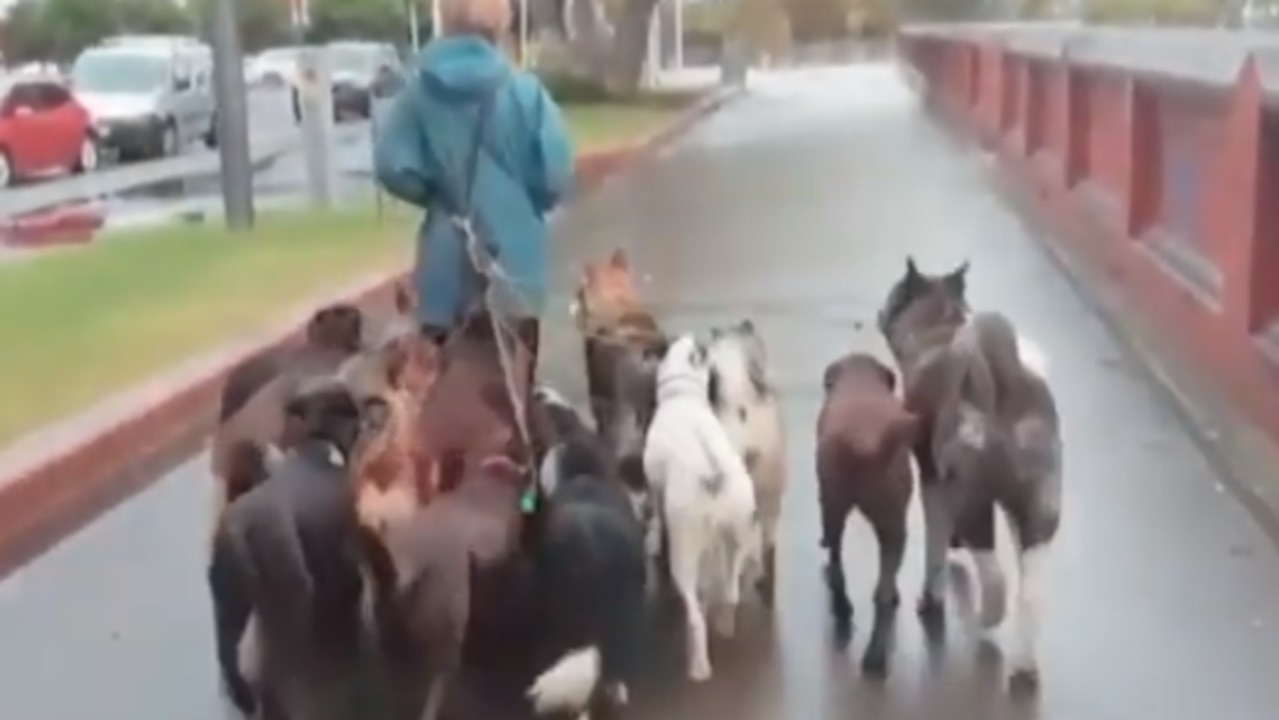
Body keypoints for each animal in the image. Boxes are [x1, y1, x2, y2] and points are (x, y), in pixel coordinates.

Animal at [209, 381, 373, 716]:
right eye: (351, 407)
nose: (369, 420)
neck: (320, 447)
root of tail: (239, 529)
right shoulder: (344, 555)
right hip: (289, 597)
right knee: (276, 669)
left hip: (228, 605)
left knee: (226, 655)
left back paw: (244, 698)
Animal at [644, 332, 752, 680]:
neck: (684, 396)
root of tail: (715, 476)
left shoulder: (654, 484)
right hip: (739, 535)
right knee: (731, 591)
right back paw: (726, 626)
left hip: (684, 553)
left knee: (694, 616)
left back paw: (699, 667)